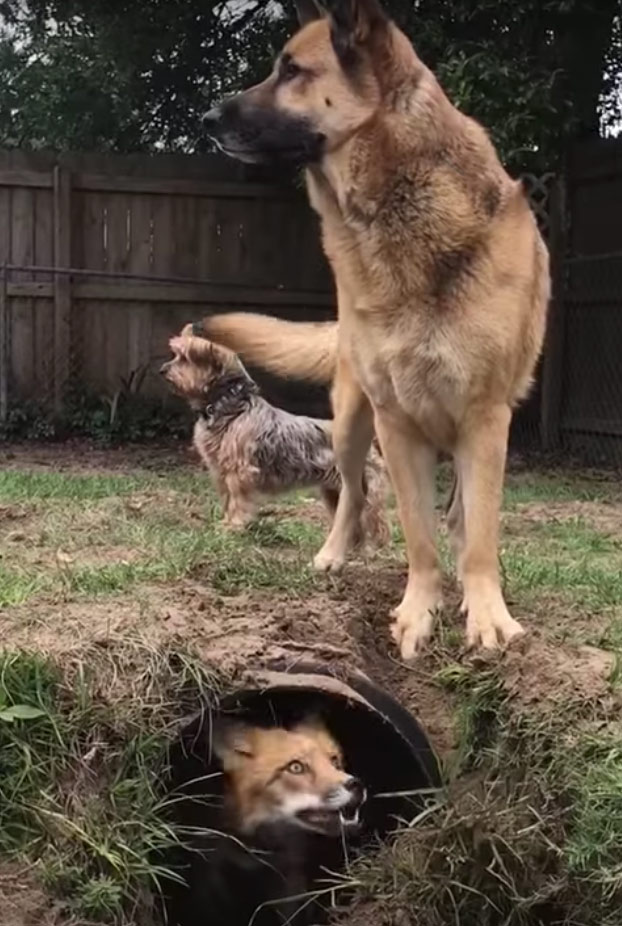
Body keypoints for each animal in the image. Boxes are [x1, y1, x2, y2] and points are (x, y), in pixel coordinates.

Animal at [160, 326, 390, 540]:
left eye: (184, 358)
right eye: (175, 355)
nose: (162, 370)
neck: (231, 409)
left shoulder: (239, 472)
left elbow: (237, 500)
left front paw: (234, 526)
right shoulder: (220, 472)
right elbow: (227, 500)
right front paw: (226, 522)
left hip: (362, 488)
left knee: (376, 521)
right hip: (333, 491)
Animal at [201, 0, 552, 660]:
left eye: (292, 70)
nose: (209, 120)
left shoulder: (485, 417)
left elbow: (478, 532)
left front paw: (485, 613)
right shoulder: (396, 421)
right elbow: (417, 534)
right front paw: (418, 612)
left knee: (457, 512)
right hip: (350, 424)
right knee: (351, 495)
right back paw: (333, 556)